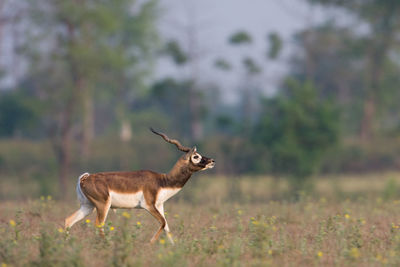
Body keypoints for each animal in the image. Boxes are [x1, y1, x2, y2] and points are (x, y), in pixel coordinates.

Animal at [65, 128, 216, 245]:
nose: (212, 161)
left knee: (68, 221)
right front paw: (150, 243)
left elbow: (167, 227)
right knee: (98, 224)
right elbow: (162, 223)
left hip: (88, 206)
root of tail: (85, 178)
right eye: (196, 156)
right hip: (103, 205)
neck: (163, 181)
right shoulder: (148, 205)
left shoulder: (160, 205)